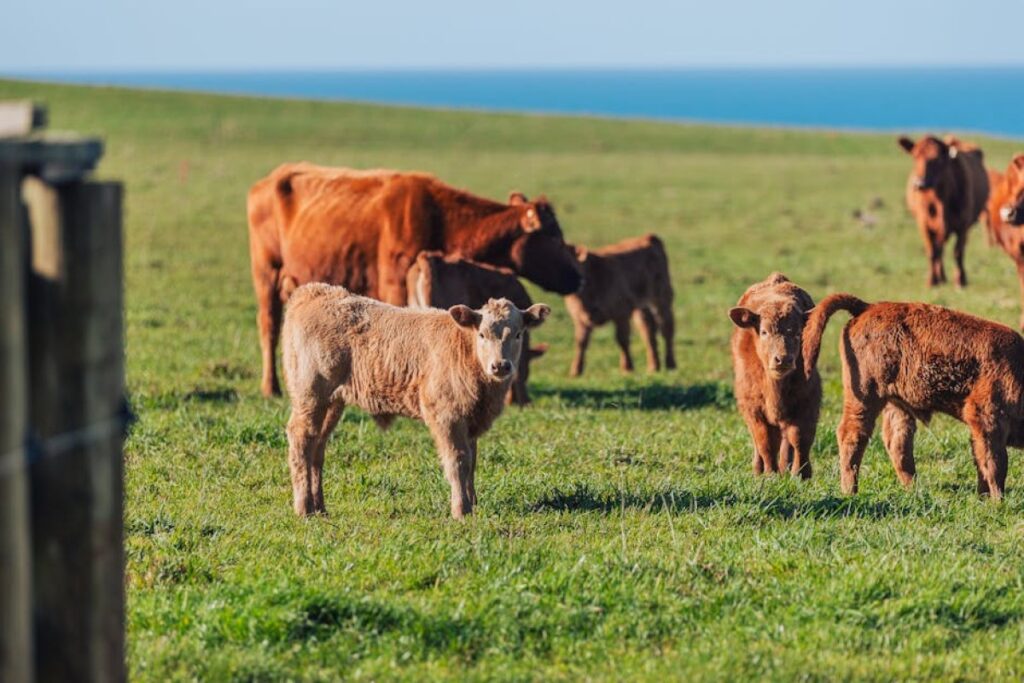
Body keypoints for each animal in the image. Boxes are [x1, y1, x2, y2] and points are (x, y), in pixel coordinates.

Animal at [281, 283, 550, 518]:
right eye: (482, 334)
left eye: (518, 334)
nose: (500, 365)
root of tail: (314, 292)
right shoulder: (446, 416)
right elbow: (458, 461)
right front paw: (461, 510)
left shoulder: (471, 420)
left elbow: (472, 462)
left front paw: (473, 504)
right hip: (310, 394)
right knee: (301, 439)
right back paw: (304, 508)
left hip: (332, 402)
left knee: (317, 446)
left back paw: (319, 507)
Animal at [564, 234, 676, 377]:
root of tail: (648, 237)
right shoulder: (579, 319)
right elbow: (581, 342)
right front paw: (575, 371)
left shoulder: (621, 313)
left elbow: (622, 340)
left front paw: (627, 368)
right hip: (641, 307)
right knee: (648, 331)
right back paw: (653, 367)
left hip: (662, 298)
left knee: (667, 329)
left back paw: (671, 364)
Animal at [729, 273, 820, 479]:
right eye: (764, 331)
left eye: (798, 332)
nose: (783, 359)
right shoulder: (753, 407)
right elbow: (765, 442)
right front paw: (770, 474)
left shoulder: (807, 400)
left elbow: (800, 437)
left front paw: (801, 473)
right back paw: (759, 468)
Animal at [803, 294, 1024, 499]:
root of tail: (867, 307)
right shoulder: (987, 419)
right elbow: (995, 463)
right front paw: (998, 500)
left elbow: (981, 461)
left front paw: (984, 497)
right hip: (865, 396)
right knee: (853, 435)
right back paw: (851, 491)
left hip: (895, 403)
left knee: (897, 442)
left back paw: (914, 489)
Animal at [898, 135, 989, 287]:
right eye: (915, 156)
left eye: (937, 159)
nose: (920, 184)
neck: (940, 198)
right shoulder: (924, 224)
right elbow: (932, 252)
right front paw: (932, 280)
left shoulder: (963, 226)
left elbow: (958, 252)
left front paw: (960, 280)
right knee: (939, 250)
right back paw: (941, 277)